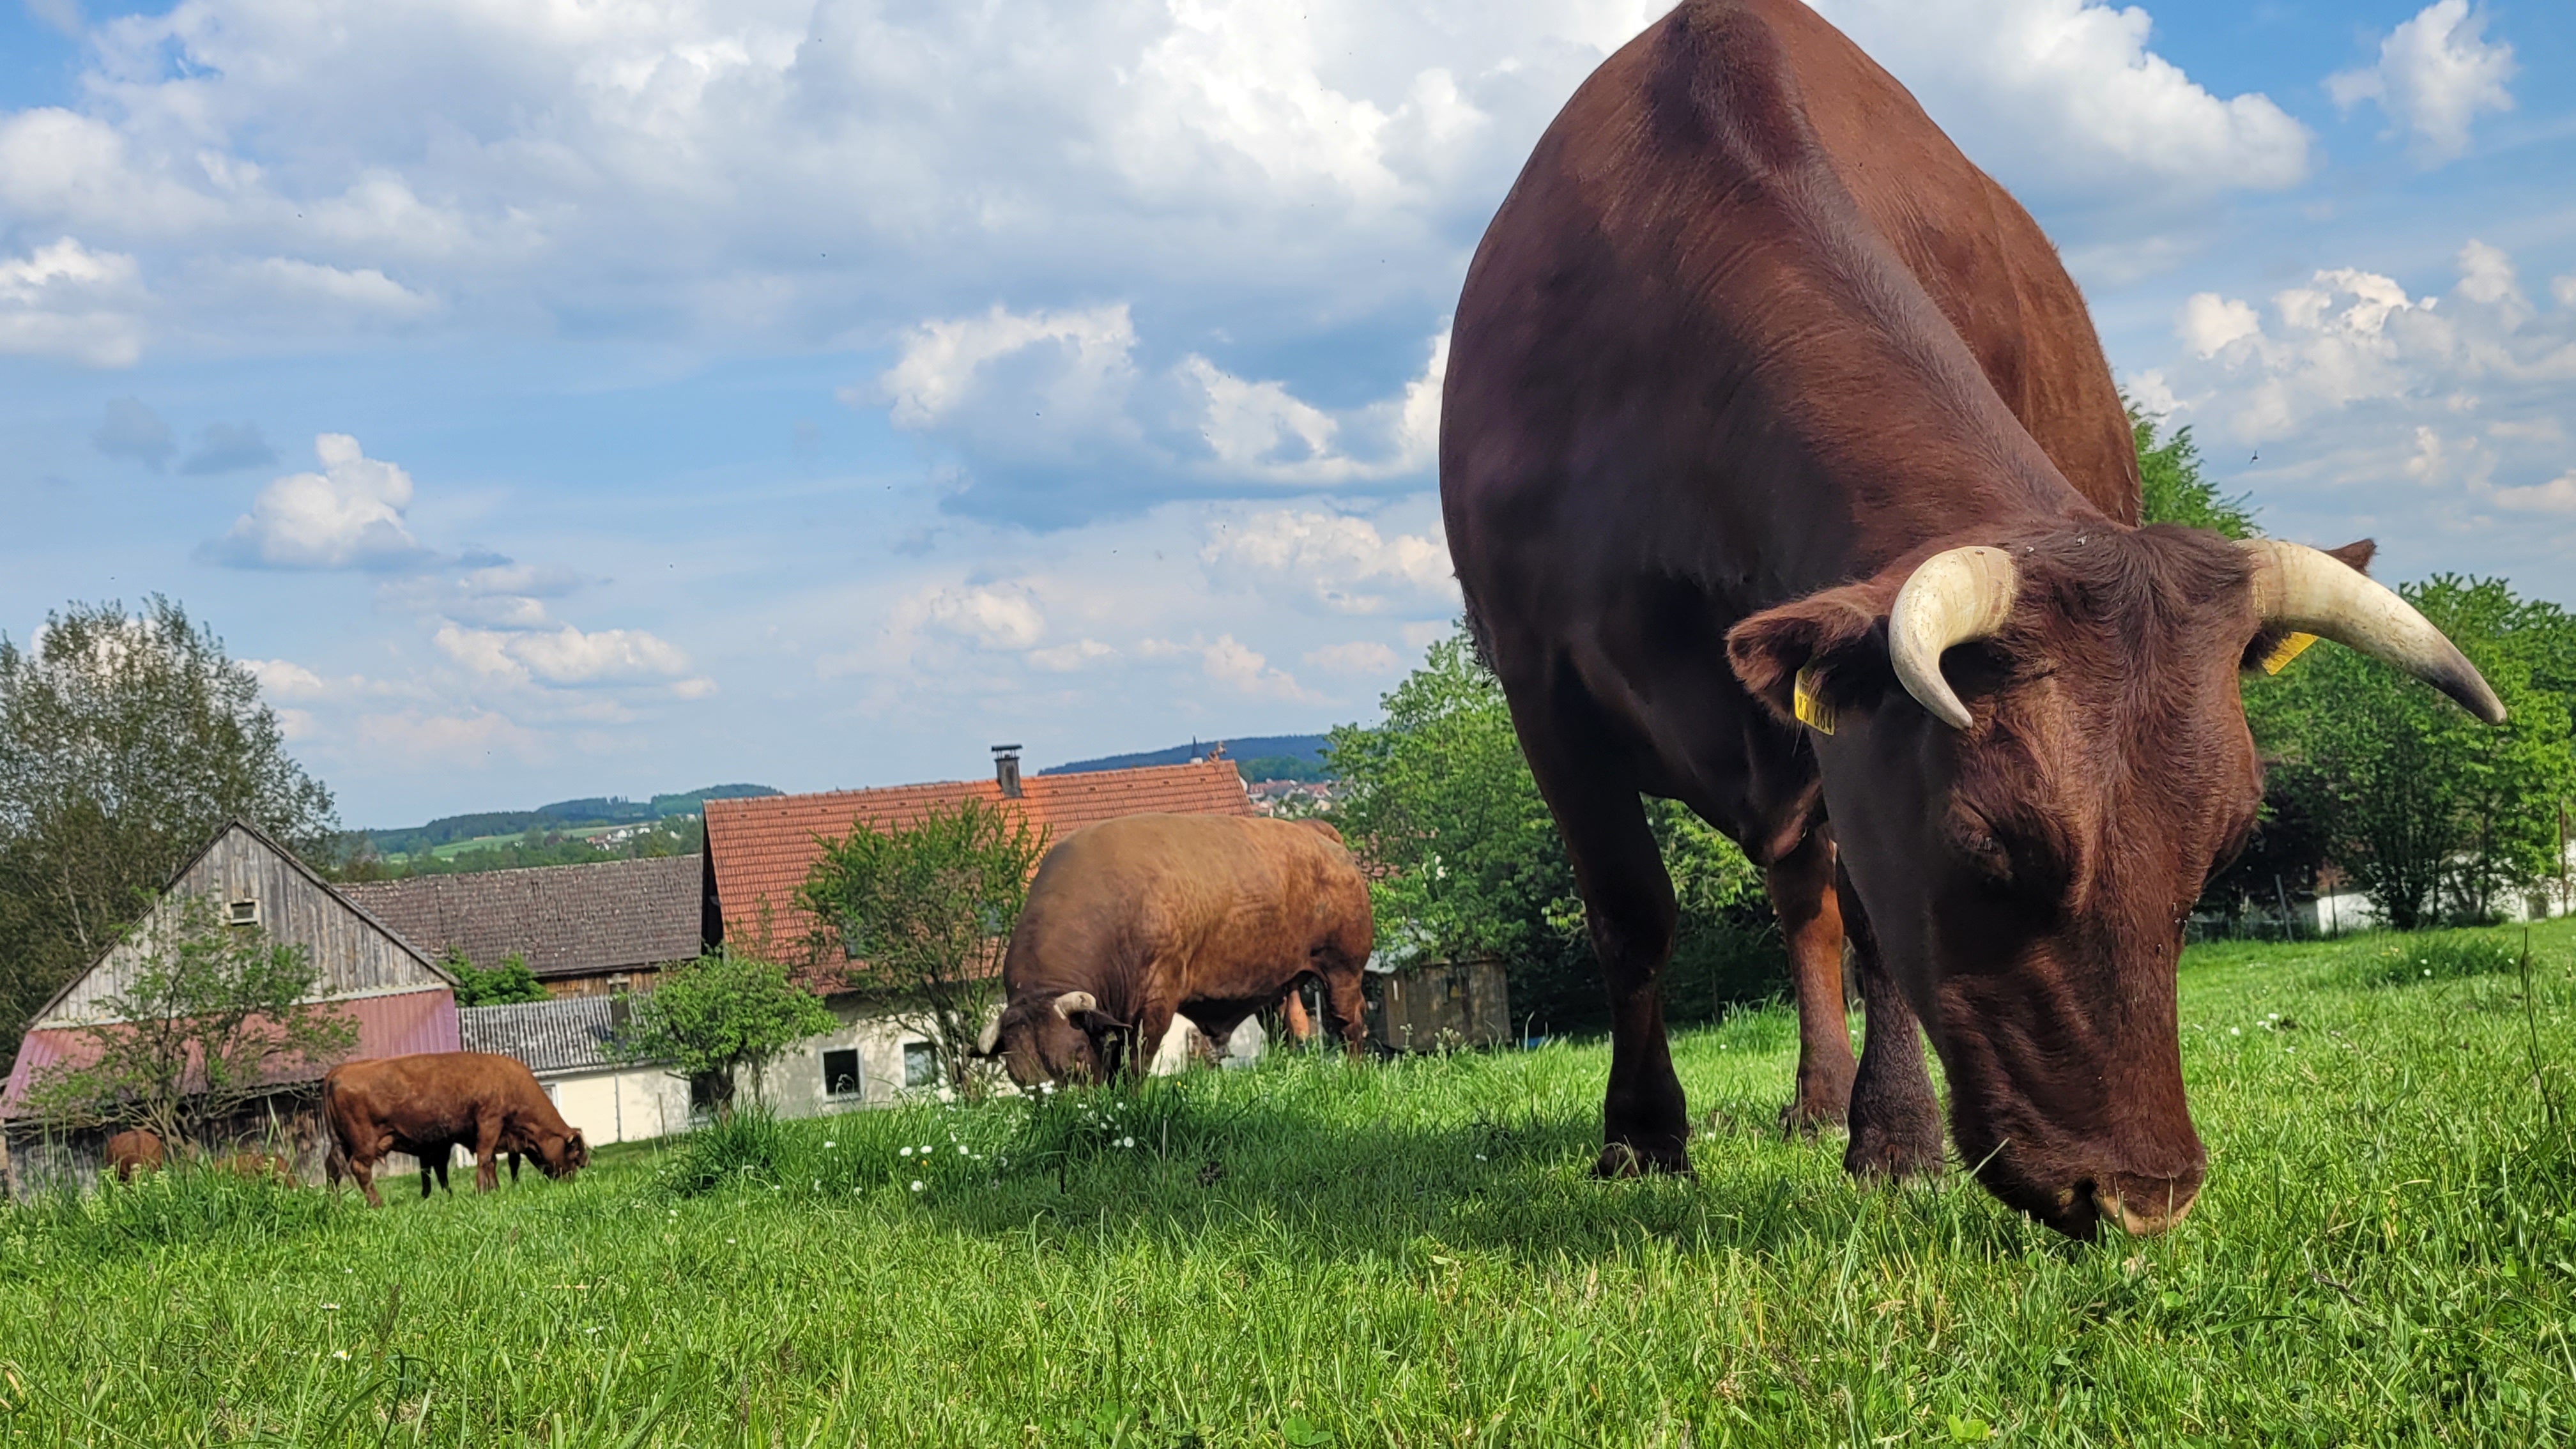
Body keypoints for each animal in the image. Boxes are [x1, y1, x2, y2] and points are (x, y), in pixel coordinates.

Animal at [321, 1053, 588, 1208]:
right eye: (575, 1155)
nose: (571, 1182)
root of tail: (339, 1072)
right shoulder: (489, 1122)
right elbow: (484, 1159)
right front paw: (482, 1192)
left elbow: (484, 1163)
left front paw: (491, 1190)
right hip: (363, 1144)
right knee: (360, 1169)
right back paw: (377, 1204)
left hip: (342, 1144)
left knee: (333, 1168)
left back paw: (334, 1205)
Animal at [981, 814, 1373, 1085]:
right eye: (1020, 1080)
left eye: (1076, 1059)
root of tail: (1314, 831)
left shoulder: (1154, 1004)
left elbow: (1133, 1064)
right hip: (1277, 983)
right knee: (1285, 1027)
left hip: (1343, 971)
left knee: (1350, 1023)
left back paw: (1354, 1073)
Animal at [1440, 0, 2503, 1237]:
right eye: (1989, 845)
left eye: (2229, 844)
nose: (2143, 1195)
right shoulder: (1539, 681)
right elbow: (1631, 913)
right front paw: (1645, 1138)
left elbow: (1871, 916)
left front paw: (1895, 1140)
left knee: (1811, 905)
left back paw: (1822, 1103)